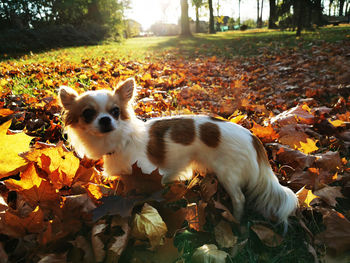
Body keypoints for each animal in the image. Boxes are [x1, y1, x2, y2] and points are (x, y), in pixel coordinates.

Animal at [58, 77, 298, 228]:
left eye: (115, 111)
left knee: (239, 198)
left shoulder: (149, 174)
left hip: (228, 173)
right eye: (88, 114)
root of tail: (253, 138)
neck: (120, 141)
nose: (106, 120)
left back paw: (236, 220)